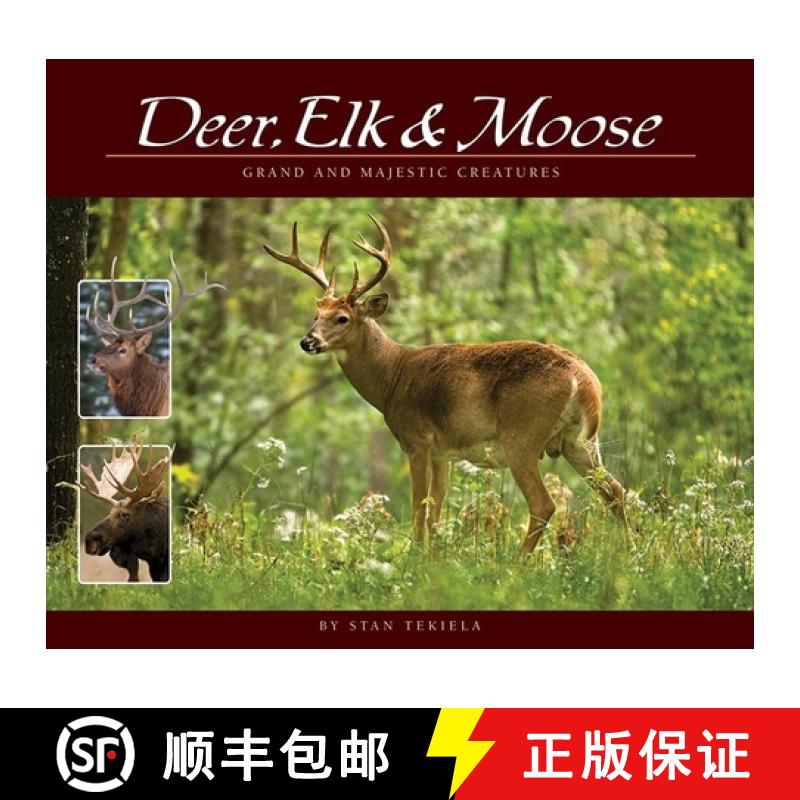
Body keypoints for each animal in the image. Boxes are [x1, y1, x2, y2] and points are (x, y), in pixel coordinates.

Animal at [264, 215, 627, 553]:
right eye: (316, 315)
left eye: (342, 318)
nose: (307, 342)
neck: (392, 377)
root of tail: (584, 379)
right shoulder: (445, 453)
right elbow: (436, 512)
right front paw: (432, 559)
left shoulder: (417, 439)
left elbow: (419, 509)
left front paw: (414, 557)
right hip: (580, 441)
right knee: (615, 491)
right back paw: (630, 553)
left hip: (522, 437)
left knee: (543, 503)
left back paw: (518, 564)